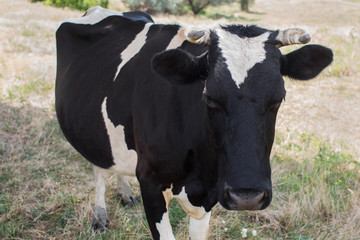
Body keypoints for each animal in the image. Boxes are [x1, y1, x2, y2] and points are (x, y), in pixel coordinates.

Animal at [54, 6, 334, 240]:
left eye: (279, 98)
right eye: (209, 97)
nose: (247, 197)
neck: (202, 171)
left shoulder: (210, 192)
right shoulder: (149, 180)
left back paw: (124, 194)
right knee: (99, 167)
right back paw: (100, 217)